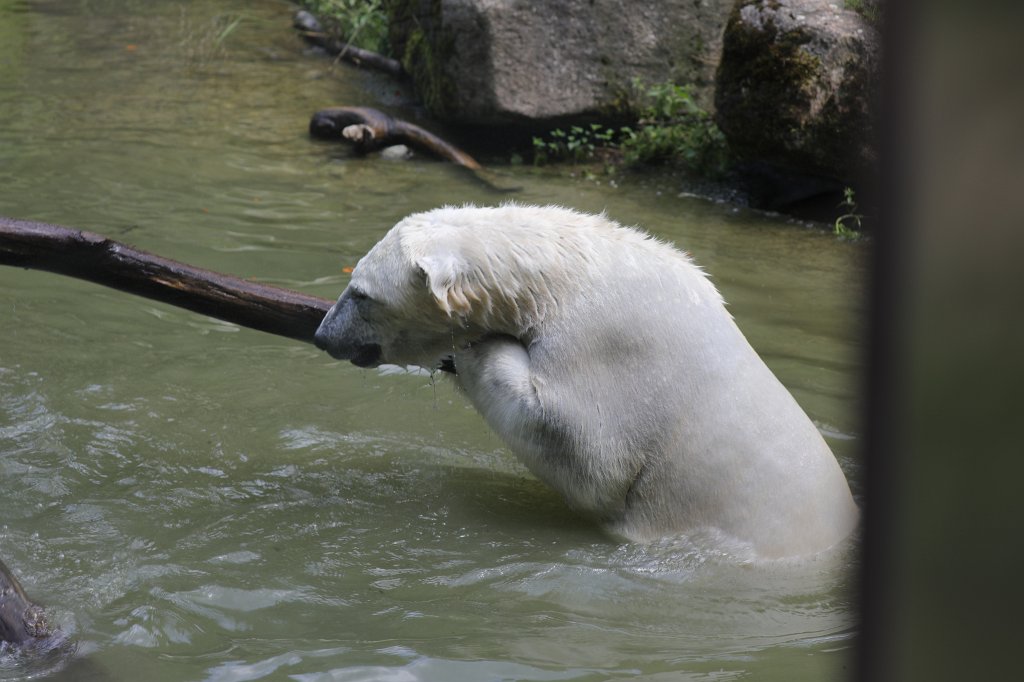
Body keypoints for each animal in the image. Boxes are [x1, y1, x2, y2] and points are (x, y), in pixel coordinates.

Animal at [314, 204, 859, 559]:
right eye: (353, 281)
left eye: (361, 293)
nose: (323, 334)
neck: (565, 274)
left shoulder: (610, 345)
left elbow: (589, 457)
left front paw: (476, 347)